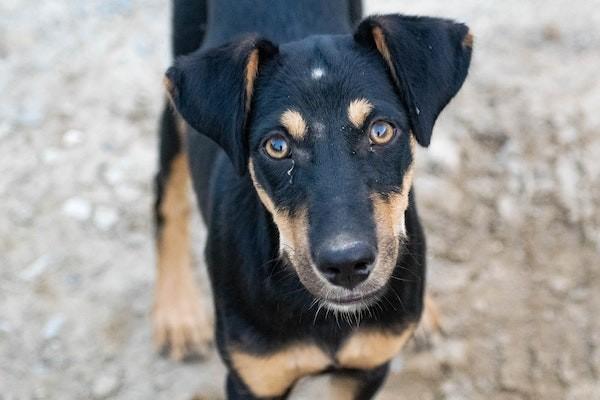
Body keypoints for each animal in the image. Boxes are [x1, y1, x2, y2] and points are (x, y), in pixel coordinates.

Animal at [152, 0, 472, 396]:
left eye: (381, 130)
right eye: (276, 146)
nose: (347, 265)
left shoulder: (366, 368)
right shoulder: (253, 380)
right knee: (167, 197)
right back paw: (177, 314)